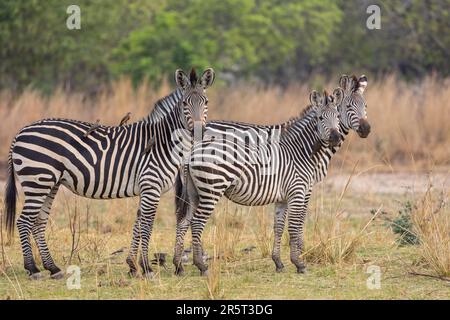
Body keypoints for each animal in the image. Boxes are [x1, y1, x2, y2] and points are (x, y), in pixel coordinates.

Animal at [4, 68, 216, 280]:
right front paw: (147, 268)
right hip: (37, 180)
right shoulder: (151, 187)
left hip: (49, 183)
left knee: (38, 222)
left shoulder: (146, 189)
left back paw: (53, 268)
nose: (198, 132)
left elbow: (138, 225)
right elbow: (147, 226)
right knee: (24, 221)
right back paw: (33, 269)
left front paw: (133, 266)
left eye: (206, 102)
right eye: (185, 103)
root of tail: (20, 133)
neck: (164, 142)